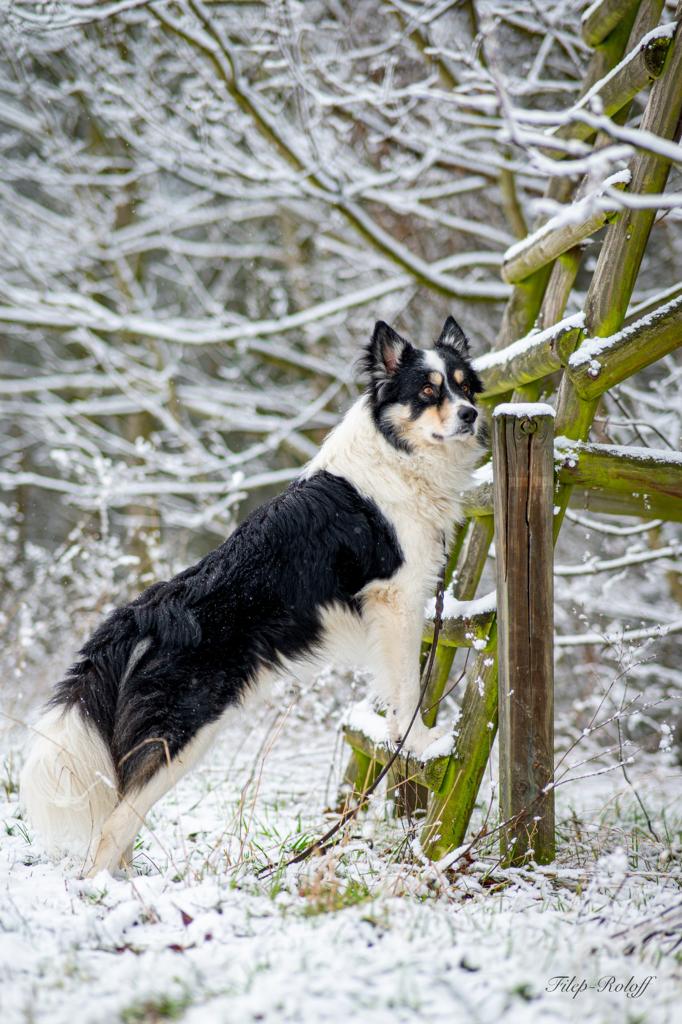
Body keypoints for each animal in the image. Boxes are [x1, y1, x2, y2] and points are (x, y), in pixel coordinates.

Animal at [18, 315, 481, 876]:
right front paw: (418, 740)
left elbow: (392, 688)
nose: (471, 415)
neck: (396, 454)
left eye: (463, 386)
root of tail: (145, 612)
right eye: (428, 391)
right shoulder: (396, 602)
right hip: (182, 732)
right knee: (112, 825)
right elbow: (408, 688)